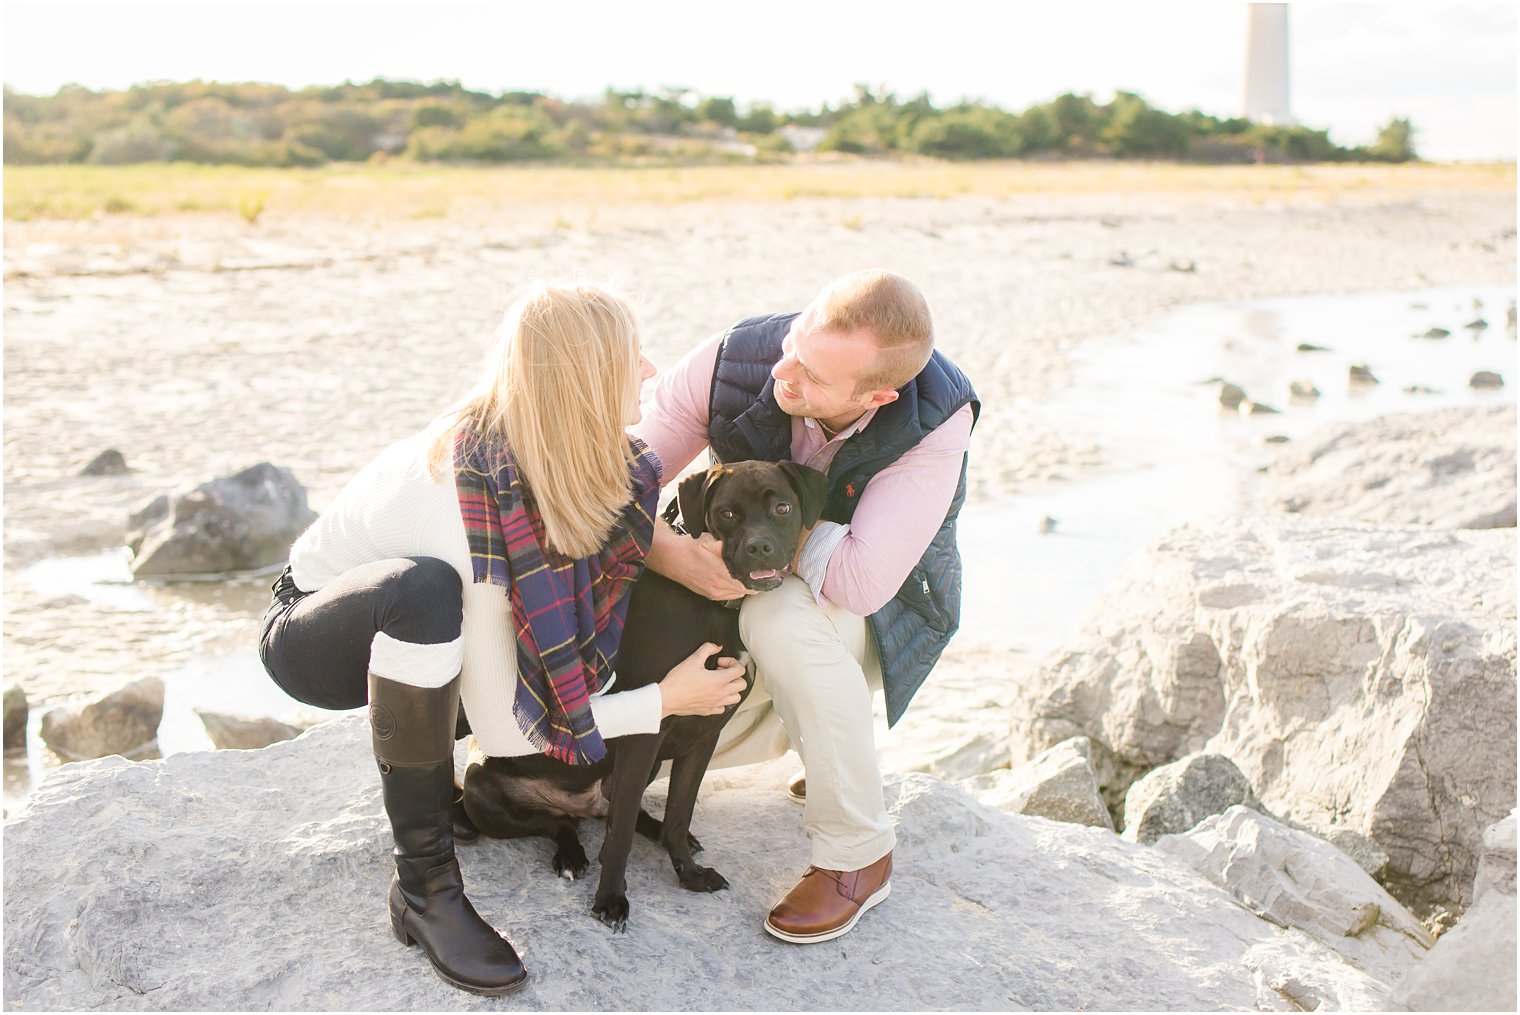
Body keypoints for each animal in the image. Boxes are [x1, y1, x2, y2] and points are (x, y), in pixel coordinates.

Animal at [462, 458, 826, 929]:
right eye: (727, 513)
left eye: (782, 507)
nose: (760, 547)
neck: (710, 608)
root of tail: (581, 802)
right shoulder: (644, 736)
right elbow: (618, 840)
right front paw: (610, 899)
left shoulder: (702, 735)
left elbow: (678, 813)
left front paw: (688, 873)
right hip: (479, 791)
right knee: (562, 823)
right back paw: (571, 854)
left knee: (621, 812)